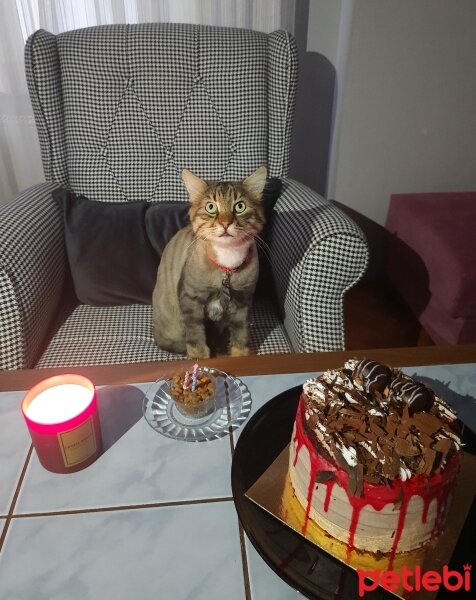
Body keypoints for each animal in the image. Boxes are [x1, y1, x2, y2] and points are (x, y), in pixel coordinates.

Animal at [152, 166, 268, 358]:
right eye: (211, 207)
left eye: (240, 206)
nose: (225, 223)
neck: (227, 266)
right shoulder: (190, 297)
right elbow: (195, 334)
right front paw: (200, 356)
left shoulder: (243, 300)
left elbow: (241, 333)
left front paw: (239, 355)